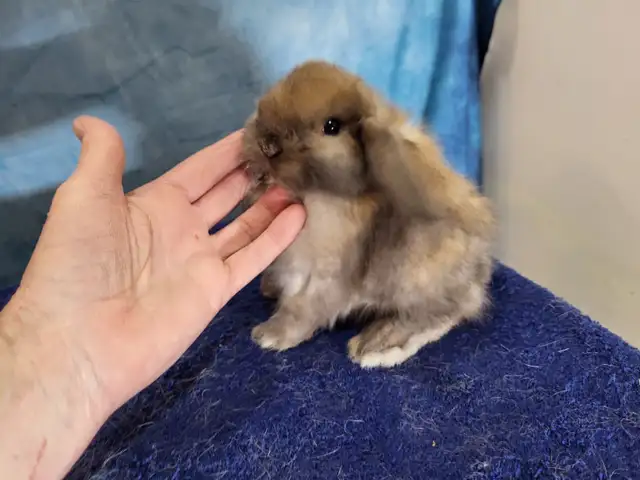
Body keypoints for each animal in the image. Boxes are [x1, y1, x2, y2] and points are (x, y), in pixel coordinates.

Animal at [241, 60, 495, 368]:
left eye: (331, 126)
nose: (267, 145)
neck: (318, 194)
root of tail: (479, 275)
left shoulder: (324, 275)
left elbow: (303, 308)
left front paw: (269, 336)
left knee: (443, 313)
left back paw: (375, 344)